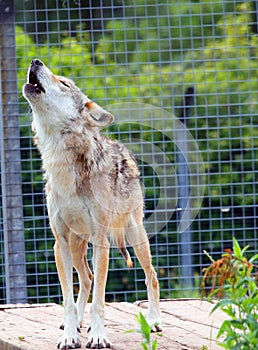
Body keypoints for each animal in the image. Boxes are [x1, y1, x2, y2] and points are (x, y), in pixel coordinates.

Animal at [23, 58, 162, 348]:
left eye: (64, 83)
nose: (35, 60)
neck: (62, 166)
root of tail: (122, 148)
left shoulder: (101, 241)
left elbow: (99, 299)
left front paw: (98, 335)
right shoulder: (60, 242)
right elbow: (67, 298)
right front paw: (70, 335)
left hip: (135, 236)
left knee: (151, 275)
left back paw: (154, 320)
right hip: (75, 247)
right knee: (85, 279)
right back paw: (76, 323)